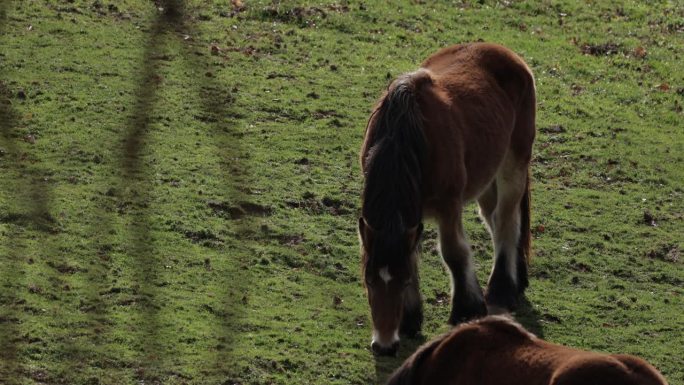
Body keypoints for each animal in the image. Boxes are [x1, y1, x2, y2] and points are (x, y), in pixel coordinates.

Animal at [358, 42, 536, 354]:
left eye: (403, 281)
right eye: (369, 279)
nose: (384, 345)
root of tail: (510, 55)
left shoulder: (448, 205)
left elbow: (453, 252)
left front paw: (467, 309)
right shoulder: (413, 212)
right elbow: (413, 253)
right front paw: (410, 320)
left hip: (513, 163)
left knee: (505, 221)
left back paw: (502, 289)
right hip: (485, 179)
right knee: (494, 220)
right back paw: (517, 278)